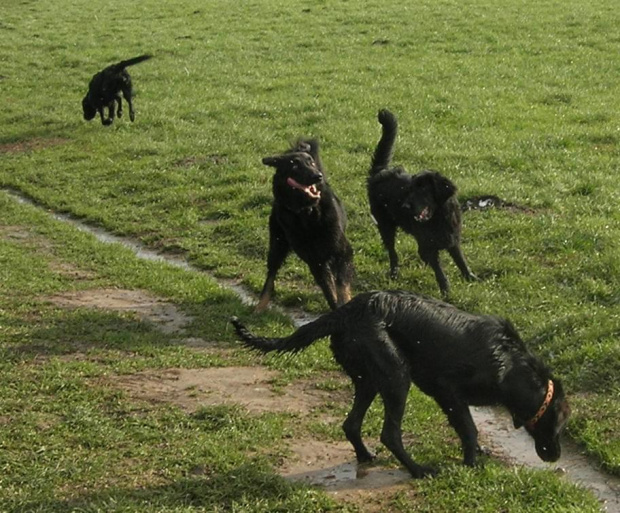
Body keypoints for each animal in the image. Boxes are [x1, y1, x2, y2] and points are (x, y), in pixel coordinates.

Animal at [232, 290, 572, 478]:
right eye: (560, 425)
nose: (556, 456)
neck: (508, 362)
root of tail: (345, 312)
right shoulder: (446, 390)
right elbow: (469, 429)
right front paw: (471, 465)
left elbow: (469, 430)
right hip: (397, 376)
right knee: (390, 434)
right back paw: (418, 471)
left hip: (369, 379)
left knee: (351, 424)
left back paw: (366, 456)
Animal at [256, 138, 354, 310]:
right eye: (294, 165)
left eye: (311, 163)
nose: (317, 176)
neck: (307, 213)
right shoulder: (316, 262)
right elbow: (330, 293)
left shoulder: (342, 252)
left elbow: (341, 286)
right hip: (277, 244)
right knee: (271, 274)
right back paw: (260, 306)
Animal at [368, 109, 480, 292]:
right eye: (410, 190)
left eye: (422, 190)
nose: (405, 206)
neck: (439, 218)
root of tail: (379, 172)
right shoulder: (427, 246)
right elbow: (439, 270)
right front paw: (446, 290)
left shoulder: (453, 239)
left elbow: (461, 260)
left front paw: (470, 277)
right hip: (385, 226)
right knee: (392, 253)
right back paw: (394, 273)